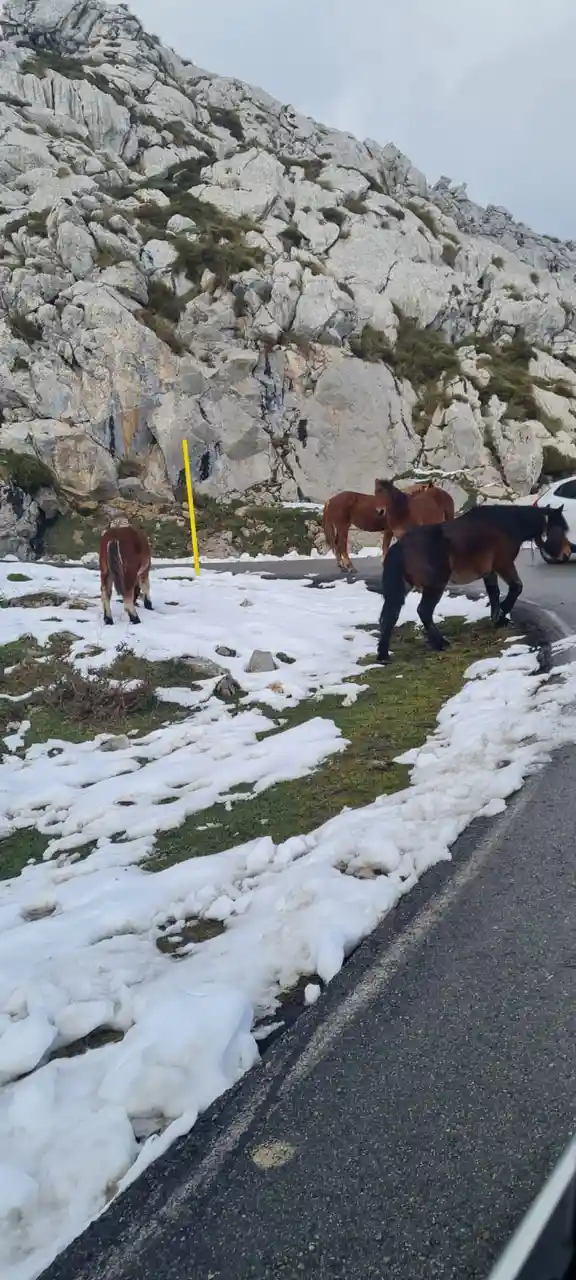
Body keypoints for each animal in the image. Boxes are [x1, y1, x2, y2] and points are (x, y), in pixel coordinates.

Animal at [376, 503, 571, 663]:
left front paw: (498, 618)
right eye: (560, 530)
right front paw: (502, 613)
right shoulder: (504, 564)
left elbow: (494, 592)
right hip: (435, 585)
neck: (507, 525)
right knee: (423, 611)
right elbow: (516, 587)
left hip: (404, 587)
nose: (567, 553)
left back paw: (383, 655)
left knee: (391, 615)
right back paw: (441, 643)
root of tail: (400, 546)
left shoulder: (490, 571)